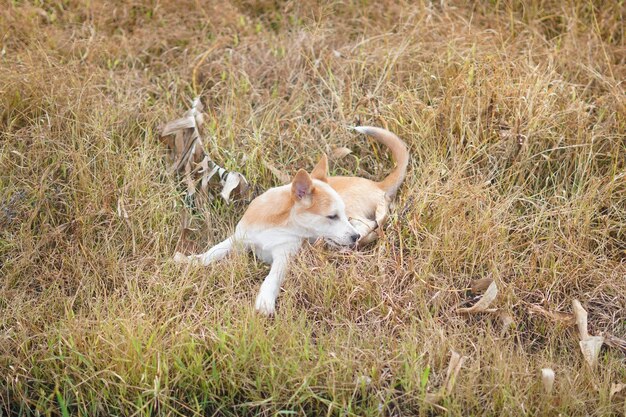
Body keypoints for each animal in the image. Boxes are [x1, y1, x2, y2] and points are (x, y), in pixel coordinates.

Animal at [174, 125, 410, 314]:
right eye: (331, 216)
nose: (353, 238)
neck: (278, 224)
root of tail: (377, 184)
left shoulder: (284, 255)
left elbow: (272, 277)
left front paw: (265, 300)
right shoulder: (239, 238)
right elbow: (213, 252)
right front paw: (191, 260)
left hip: (355, 213)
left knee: (370, 225)